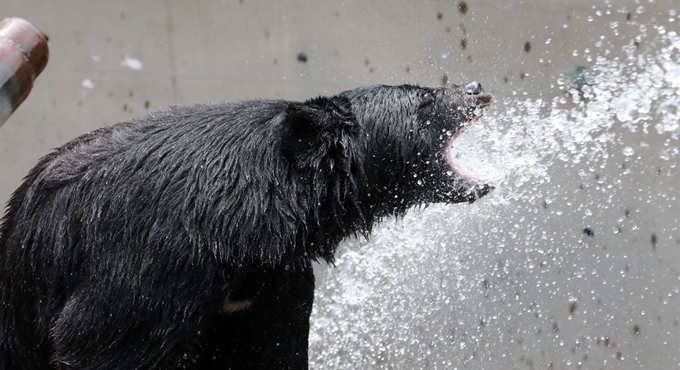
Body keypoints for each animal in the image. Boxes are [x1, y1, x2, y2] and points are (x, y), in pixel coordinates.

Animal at [0, 82, 492, 368]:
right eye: (426, 98)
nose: (476, 89)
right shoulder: (146, 264)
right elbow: (105, 340)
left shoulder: (274, 282)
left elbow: (272, 346)